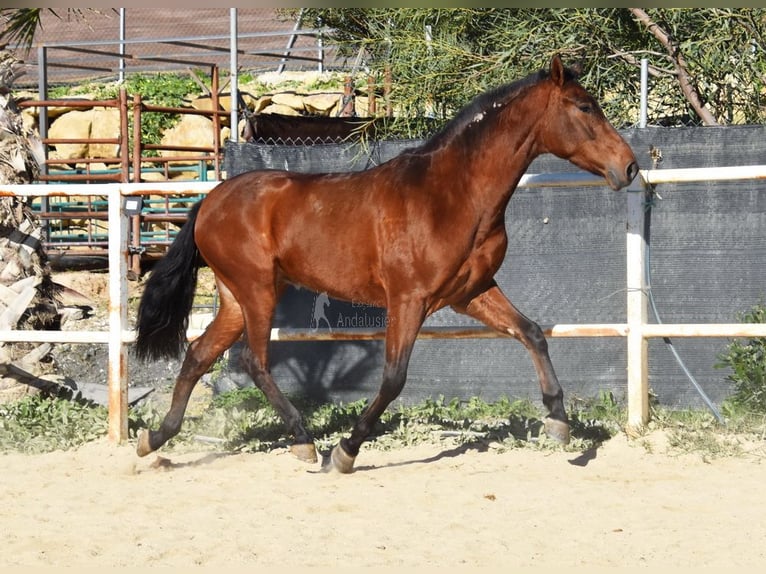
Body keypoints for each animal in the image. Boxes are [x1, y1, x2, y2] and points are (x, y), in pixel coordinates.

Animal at [135, 56, 640, 474]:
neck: (451, 195)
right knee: (254, 362)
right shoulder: (409, 299)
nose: (630, 167)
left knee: (199, 354)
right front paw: (346, 451)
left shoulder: (471, 292)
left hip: (236, 297)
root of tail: (211, 200)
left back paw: (154, 439)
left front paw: (558, 421)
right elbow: (394, 378)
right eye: (585, 107)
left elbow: (532, 332)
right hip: (256, 290)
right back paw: (305, 443)